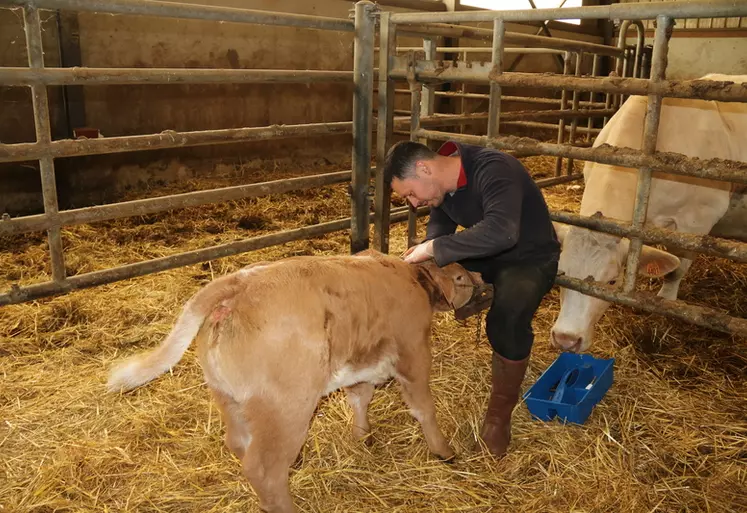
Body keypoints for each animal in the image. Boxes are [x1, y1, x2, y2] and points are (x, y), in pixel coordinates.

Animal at [106, 249, 490, 512]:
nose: (482, 280)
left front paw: (362, 436)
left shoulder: (361, 360)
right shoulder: (414, 351)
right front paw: (444, 451)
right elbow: (424, 407)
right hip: (287, 407)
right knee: (263, 468)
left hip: (228, 396)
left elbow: (359, 396)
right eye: (460, 278)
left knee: (240, 444)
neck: (410, 278)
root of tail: (240, 282)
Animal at [548, 73, 747, 352]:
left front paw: (666, 301)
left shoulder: (697, 220)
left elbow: (676, 268)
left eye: (612, 281)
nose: (566, 338)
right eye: (561, 272)